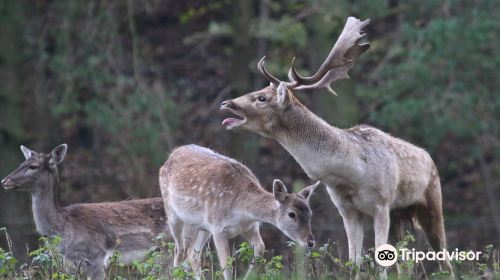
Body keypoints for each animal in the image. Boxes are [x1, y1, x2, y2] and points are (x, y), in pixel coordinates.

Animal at [0, 144, 170, 280]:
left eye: (33, 166)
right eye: (22, 163)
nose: (5, 181)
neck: (64, 229)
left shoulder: (96, 258)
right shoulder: (70, 266)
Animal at [158, 144, 318, 280]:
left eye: (310, 214)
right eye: (292, 214)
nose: (310, 242)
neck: (242, 211)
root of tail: (170, 156)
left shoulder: (250, 227)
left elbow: (260, 247)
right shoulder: (218, 228)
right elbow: (226, 265)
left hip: (202, 226)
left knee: (192, 253)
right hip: (173, 213)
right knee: (179, 251)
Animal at [219, 16, 454, 274]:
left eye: (261, 98)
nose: (227, 103)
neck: (353, 175)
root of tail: (429, 157)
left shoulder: (382, 204)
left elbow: (379, 262)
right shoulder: (347, 210)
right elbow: (355, 262)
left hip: (432, 200)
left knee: (444, 259)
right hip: (399, 214)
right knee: (402, 263)